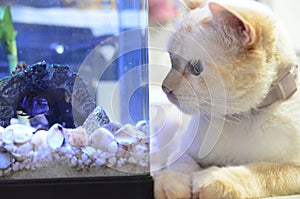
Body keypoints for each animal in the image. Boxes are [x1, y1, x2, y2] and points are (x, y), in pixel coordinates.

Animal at [154, 0, 300, 198]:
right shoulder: (183, 150)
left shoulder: (293, 167)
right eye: (172, 60)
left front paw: (213, 180)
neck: (240, 118)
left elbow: (262, 171)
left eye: (196, 68)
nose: (165, 88)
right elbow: (180, 164)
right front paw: (175, 187)